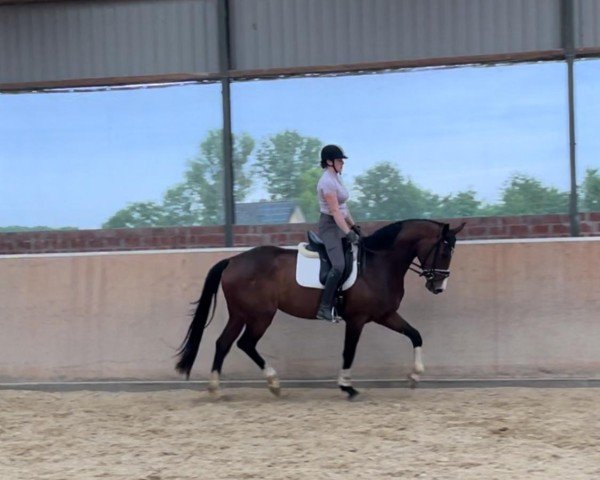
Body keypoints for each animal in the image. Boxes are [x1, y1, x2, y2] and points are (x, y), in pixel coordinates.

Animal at [176, 218, 466, 398]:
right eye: (444, 252)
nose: (438, 286)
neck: (378, 263)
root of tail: (233, 260)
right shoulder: (357, 319)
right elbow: (349, 352)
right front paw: (347, 387)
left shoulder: (385, 315)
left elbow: (415, 335)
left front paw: (415, 377)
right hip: (260, 315)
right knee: (245, 344)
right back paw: (273, 383)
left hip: (240, 314)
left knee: (223, 343)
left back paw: (216, 388)